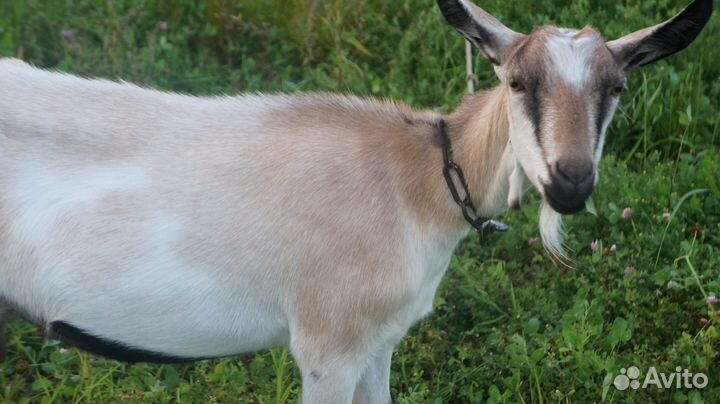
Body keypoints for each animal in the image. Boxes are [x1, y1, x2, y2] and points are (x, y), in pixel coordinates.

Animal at [0, 0, 711, 402]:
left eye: (616, 87)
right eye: (515, 81)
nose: (570, 182)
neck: (419, 181)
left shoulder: (380, 340)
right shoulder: (329, 346)